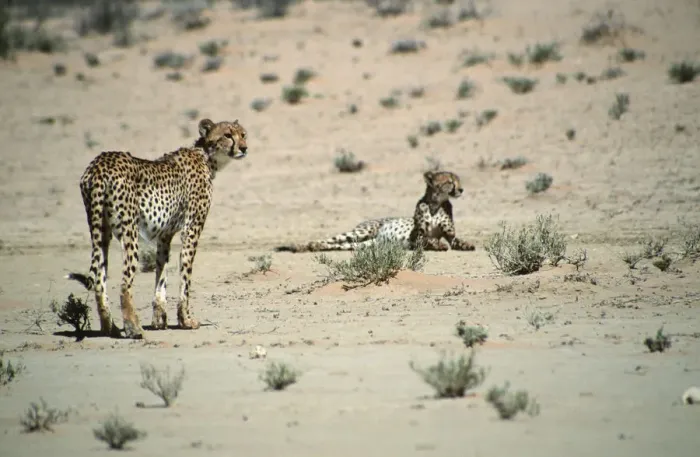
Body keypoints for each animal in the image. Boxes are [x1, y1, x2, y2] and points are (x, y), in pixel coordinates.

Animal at [67, 118, 248, 339]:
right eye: (227, 135)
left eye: (243, 134)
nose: (244, 148)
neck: (206, 156)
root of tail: (100, 163)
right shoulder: (192, 229)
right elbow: (185, 276)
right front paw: (185, 320)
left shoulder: (165, 235)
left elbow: (161, 272)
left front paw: (159, 319)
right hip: (129, 232)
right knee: (124, 284)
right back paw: (134, 329)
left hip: (101, 232)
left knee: (100, 282)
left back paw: (111, 329)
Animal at [274, 170, 475, 253]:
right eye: (450, 181)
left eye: (458, 180)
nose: (461, 189)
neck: (435, 204)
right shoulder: (418, 236)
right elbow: (429, 239)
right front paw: (438, 245)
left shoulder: (449, 234)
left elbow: (456, 240)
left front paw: (467, 245)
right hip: (361, 232)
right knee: (328, 240)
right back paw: (302, 246)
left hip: (362, 244)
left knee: (338, 245)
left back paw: (311, 248)